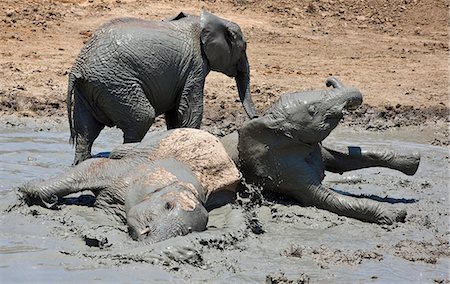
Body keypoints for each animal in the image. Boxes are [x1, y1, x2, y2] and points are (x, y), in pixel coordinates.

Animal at [67, 11, 256, 165]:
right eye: (244, 48)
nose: (254, 118)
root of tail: (77, 67)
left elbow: (174, 113)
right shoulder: (195, 65)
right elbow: (190, 109)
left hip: (91, 87)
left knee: (86, 132)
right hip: (114, 83)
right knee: (141, 119)